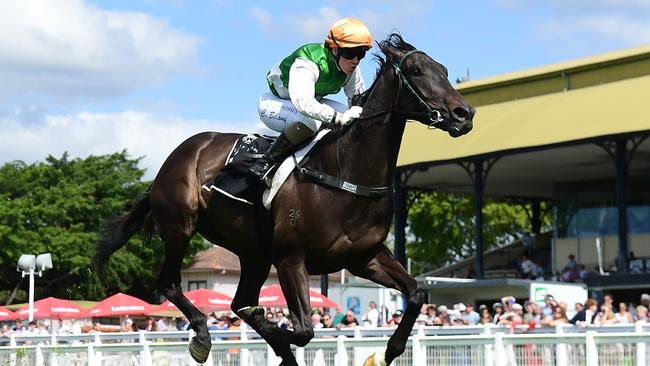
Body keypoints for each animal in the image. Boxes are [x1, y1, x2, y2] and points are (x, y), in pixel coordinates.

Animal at [95, 33, 470, 364]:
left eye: (444, 69)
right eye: (416, 71)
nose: (464, 114)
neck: (345, 173)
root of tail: (174, 158)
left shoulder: (365, 256)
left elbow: (416, 292)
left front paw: (390, 349)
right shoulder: (291, 258)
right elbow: (303, 330)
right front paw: (278, 337)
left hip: (254, 253)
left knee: (239, 303)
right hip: (180, 226)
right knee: (171, 284)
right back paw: (202, 335)